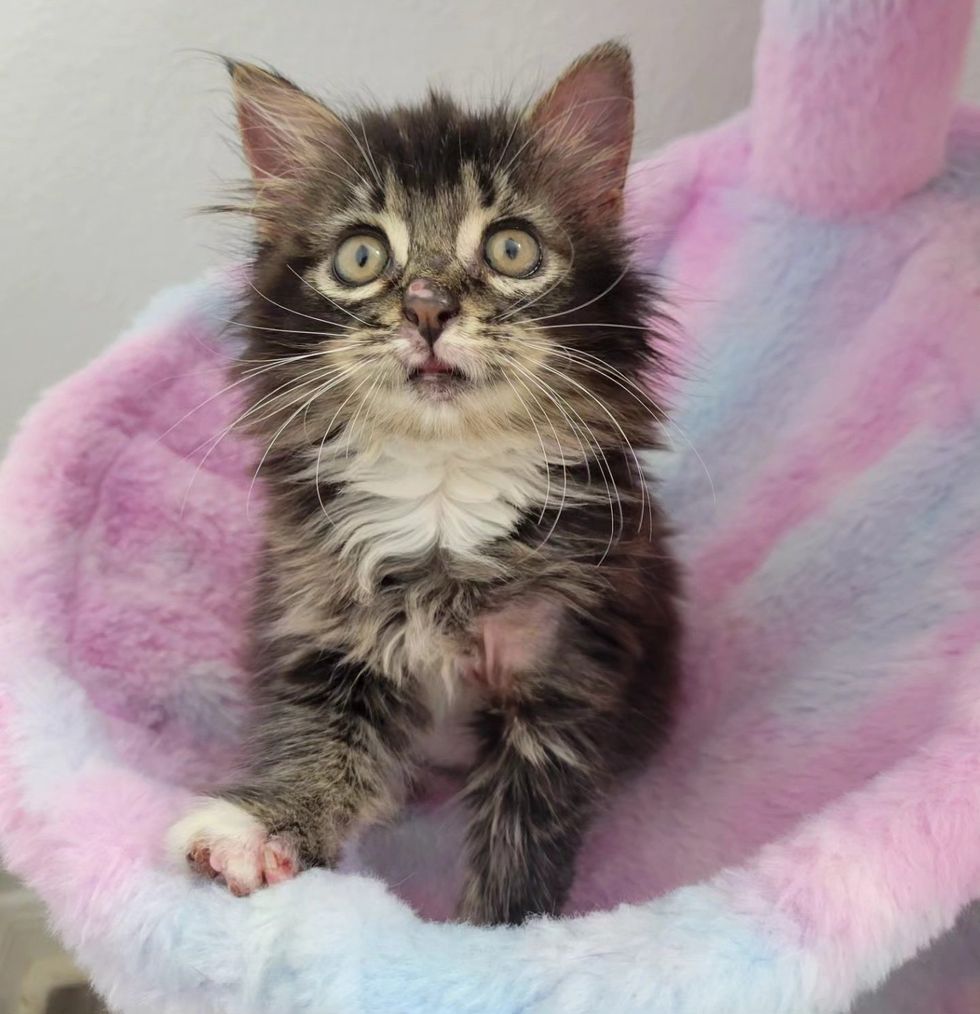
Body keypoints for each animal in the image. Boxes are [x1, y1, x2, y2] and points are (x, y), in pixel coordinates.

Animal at [168, 39, 677, 928]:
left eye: (511, 249)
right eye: (362, 257)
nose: (428, 308)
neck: (442, 490)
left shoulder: (561, 672)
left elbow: (524, 838)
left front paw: (499, 937)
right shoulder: (330, 636)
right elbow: (321, 748)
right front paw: (260, 829)